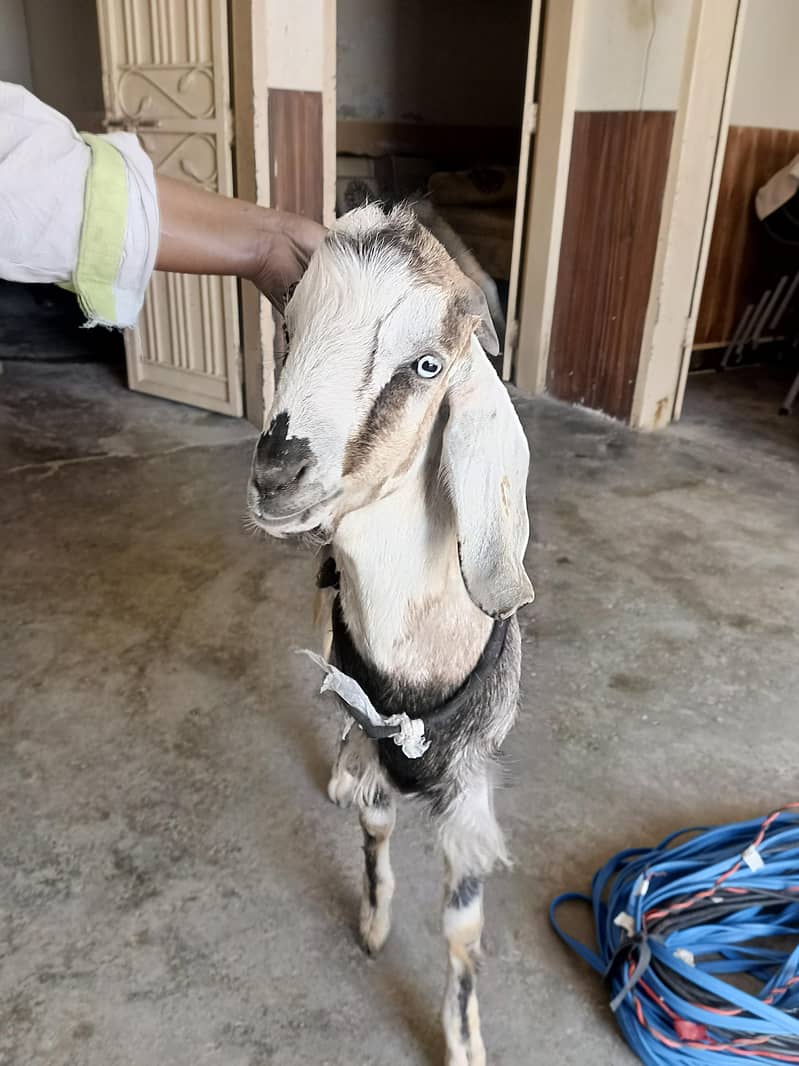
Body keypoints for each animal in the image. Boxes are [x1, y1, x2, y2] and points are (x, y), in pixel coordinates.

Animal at [247, 202, 533, 1066]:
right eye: (288, 328)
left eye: (427, 365)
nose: (276, 476)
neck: (412, 679)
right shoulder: (376, 743)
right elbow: (373, 833)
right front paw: (372, 927)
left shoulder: (468, 788)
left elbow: (462, 926)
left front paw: (463, 1042)